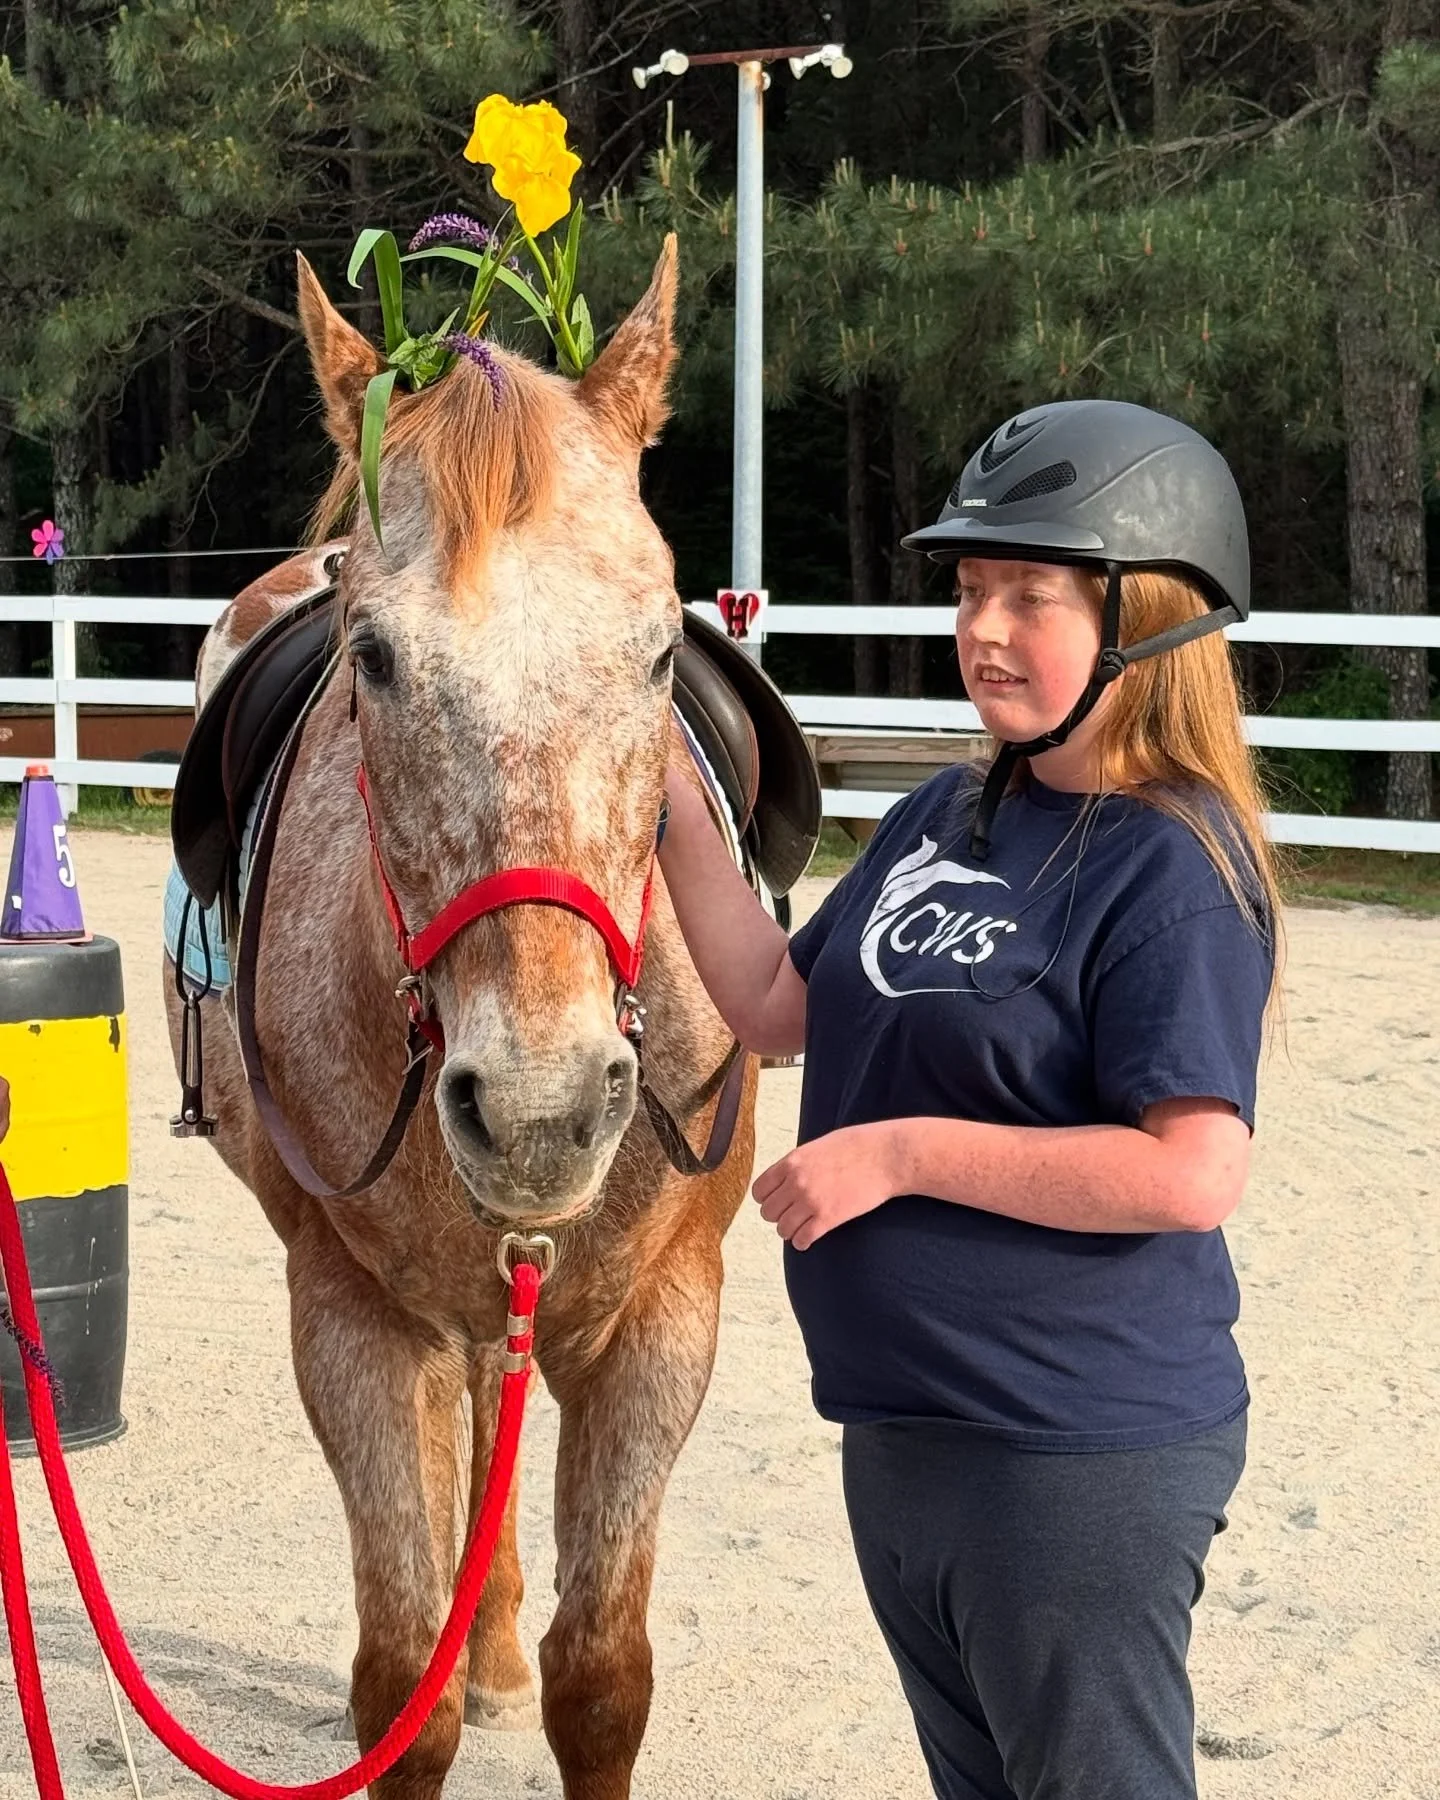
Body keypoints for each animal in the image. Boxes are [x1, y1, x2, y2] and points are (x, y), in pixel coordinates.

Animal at [164, 238, 761, 1800]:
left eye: (660, 651)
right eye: (371, 656)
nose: (544, 1104)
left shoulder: (664, 1318)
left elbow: (603, 1680)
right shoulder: (356, 1324)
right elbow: (398, 1688)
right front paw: (441, 1665)